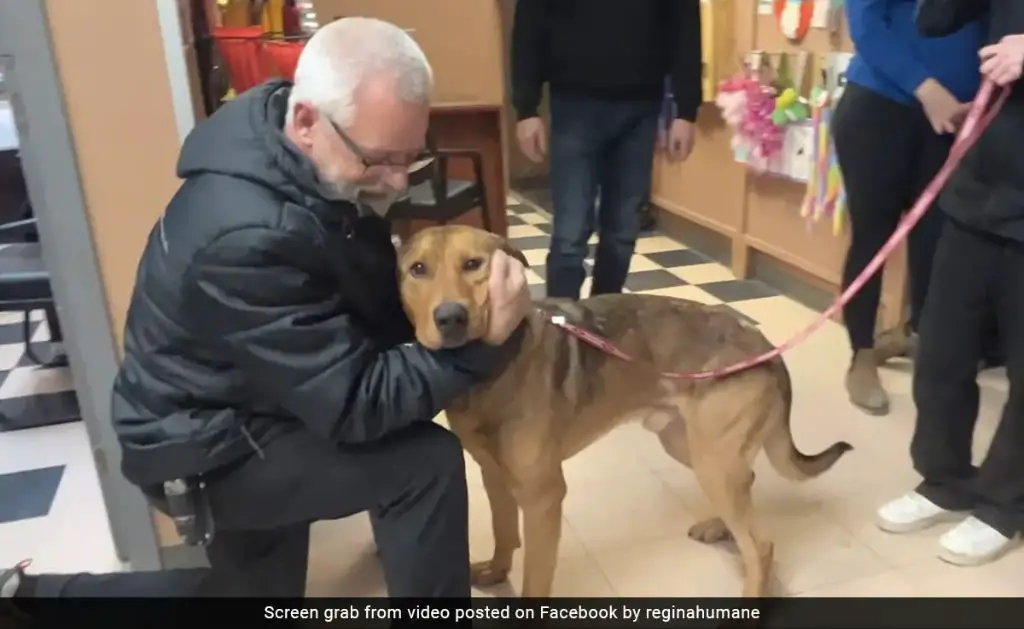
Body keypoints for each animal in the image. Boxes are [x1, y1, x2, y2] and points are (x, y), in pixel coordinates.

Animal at [395, 225, 851, 602]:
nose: (450, 318)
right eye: (418, 269)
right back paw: (718, 526)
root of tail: (764, 345)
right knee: (749, 482)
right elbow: (504, 533)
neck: (490, 367)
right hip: (690, 446)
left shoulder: (544, 498)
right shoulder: (493, 476)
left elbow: (536, 581)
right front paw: (495, 571)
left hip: (712, 459)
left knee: (761, 545)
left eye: (474, 264)